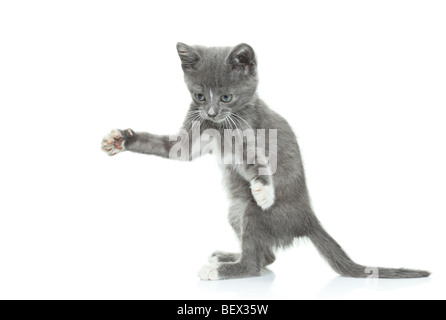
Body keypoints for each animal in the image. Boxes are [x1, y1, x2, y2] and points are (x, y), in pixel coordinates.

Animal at [101, 43, 428, 280]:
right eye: (200, 95)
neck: (219, 126)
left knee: (255, 263)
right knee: (265, 257)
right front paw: (121, 139)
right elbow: (172, 149)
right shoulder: (192, 131)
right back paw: (227, 256)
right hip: (235, 209)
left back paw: (222, 269)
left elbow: (254, 158)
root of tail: (308, 218)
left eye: (226, 97)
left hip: (253, 212)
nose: (210, 113)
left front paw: (263, 187)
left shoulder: (249, 130)